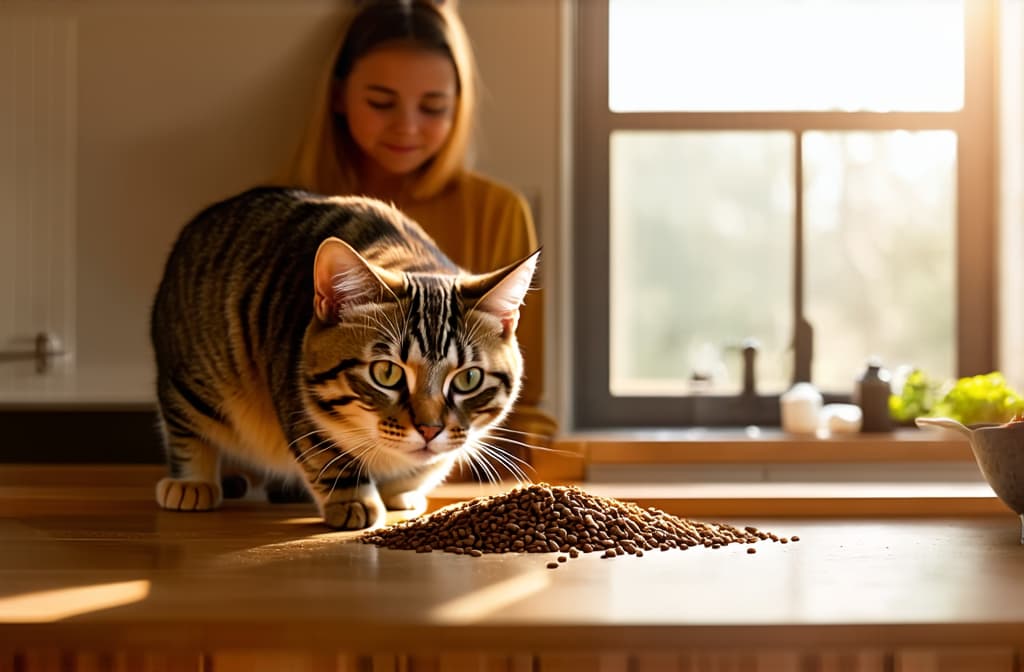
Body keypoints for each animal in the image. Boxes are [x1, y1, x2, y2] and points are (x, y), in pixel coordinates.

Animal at [150, 185, 540, 528]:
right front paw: (352, 499)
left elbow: (427, 466)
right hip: (193, 377)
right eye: (386, 373)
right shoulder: (295, 395)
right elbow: (326, 452)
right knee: (187, 429)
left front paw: (402, 491)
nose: (430, 429)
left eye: (468, 378)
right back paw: (192, 483)